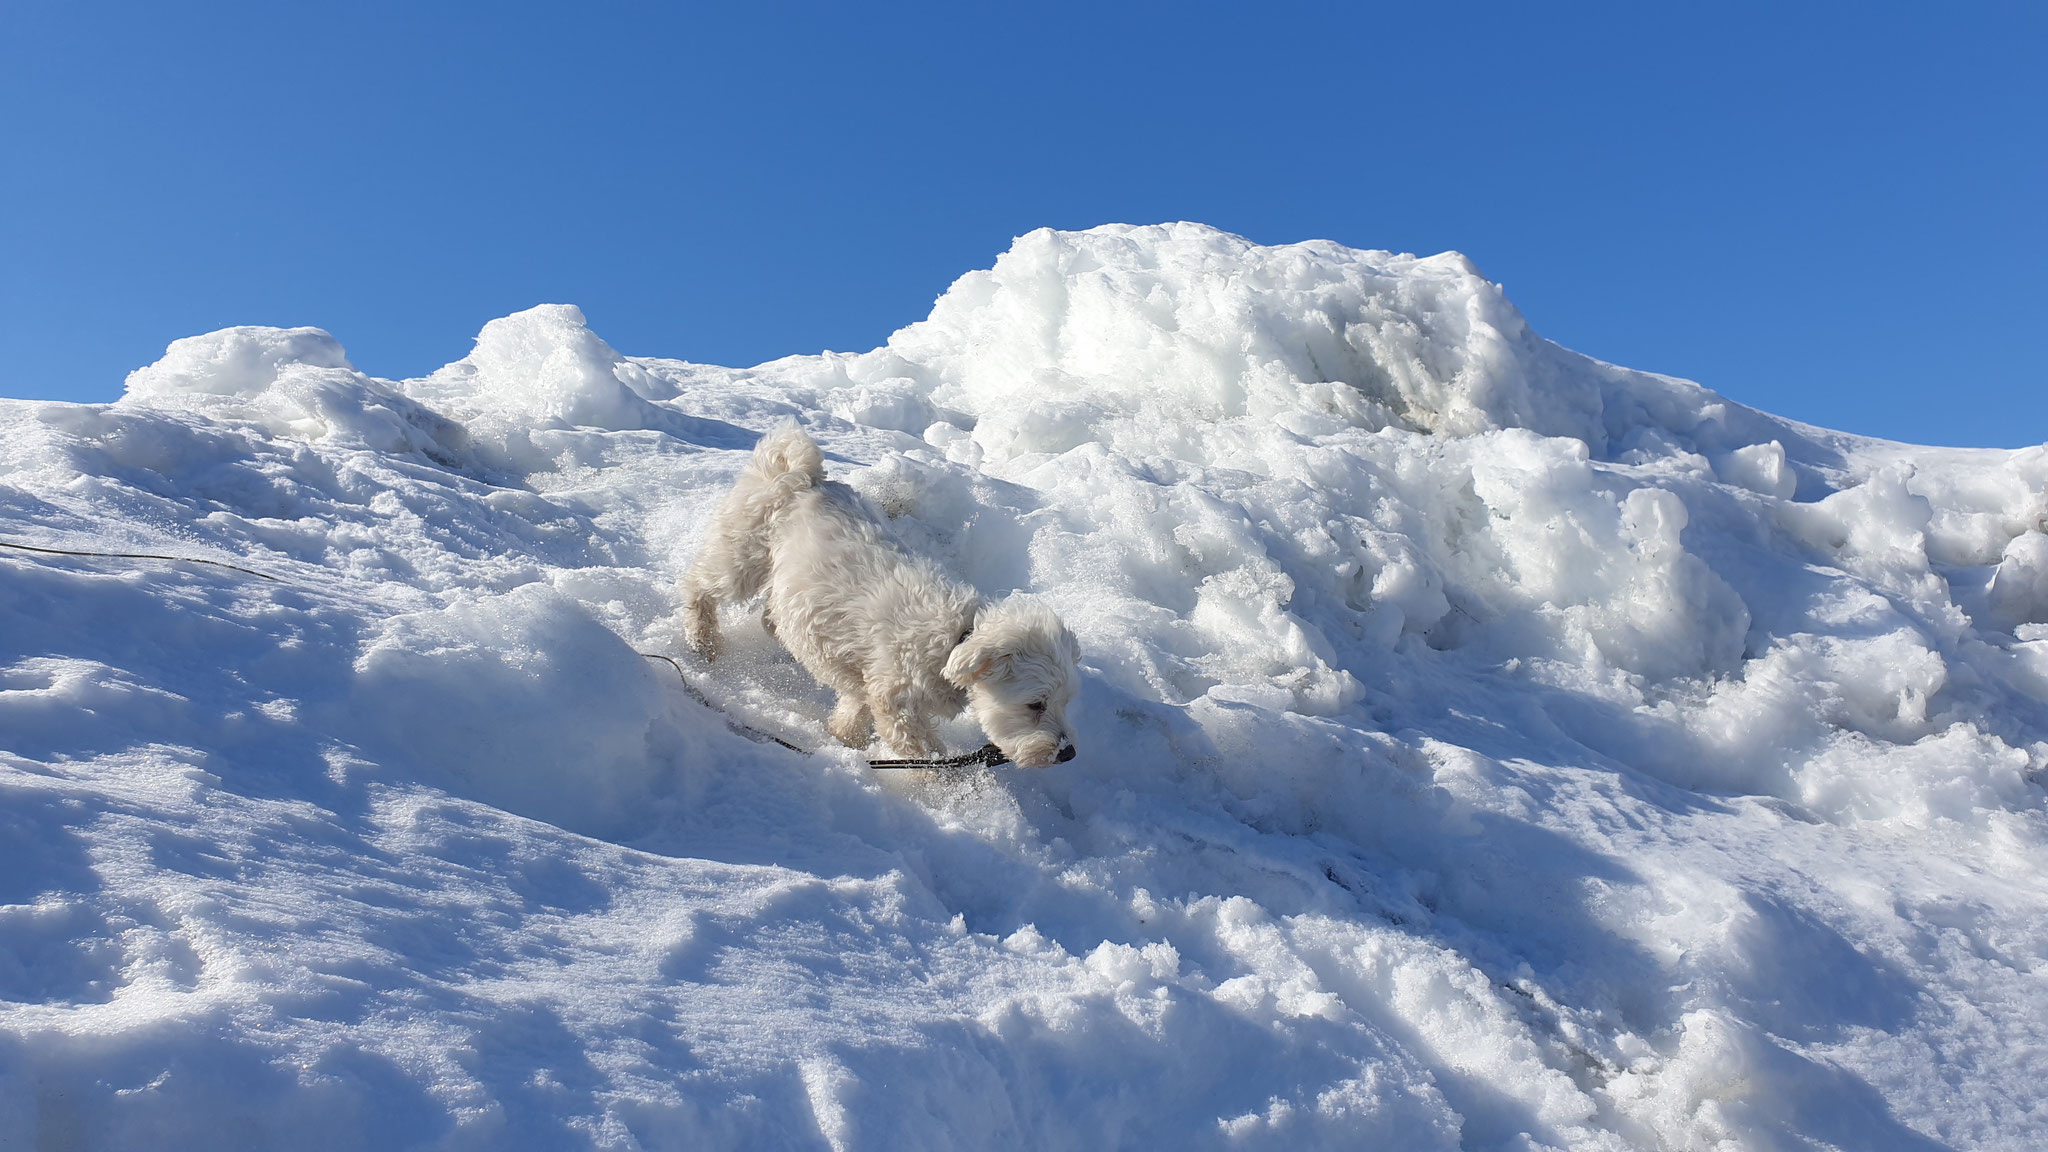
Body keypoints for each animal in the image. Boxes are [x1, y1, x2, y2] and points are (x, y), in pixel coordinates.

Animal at [679, 420, 1081, 762]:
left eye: (1066, 701)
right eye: (1035, 704)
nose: (1068, 753)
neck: (956, 638)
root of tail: (801, 475)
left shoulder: (869, 678)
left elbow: (855, 702)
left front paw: (844, 733)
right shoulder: (896, 700)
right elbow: (922, 753)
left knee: (771, 613)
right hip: (742, 554)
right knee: (699, 585)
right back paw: (703, 640)